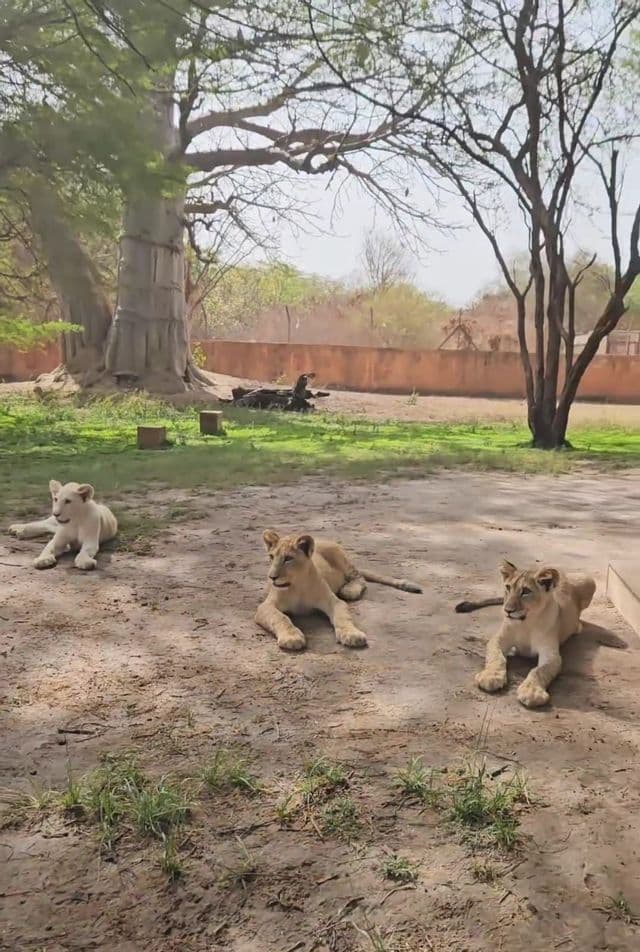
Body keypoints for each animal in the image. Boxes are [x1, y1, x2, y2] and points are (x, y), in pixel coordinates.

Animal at [255, 529, 422, 651]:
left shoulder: (334, 601)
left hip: (341, 558)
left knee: (359, 577)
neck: (297, 585)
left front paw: (352, 635)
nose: (272, 577)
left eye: (288, 559)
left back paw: (350, 590)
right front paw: (291, 637)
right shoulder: (266, 606)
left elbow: (342, 617)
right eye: (271, 557)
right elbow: (280, 617)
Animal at [463, 559, 596, 708]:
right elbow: (496, 657)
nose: (507, 610)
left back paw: (577, 627)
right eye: (508, 587)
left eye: (526, 591)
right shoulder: (498, 640)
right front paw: (491, 677)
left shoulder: (551, 655)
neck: (525, 623)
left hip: (588, 579)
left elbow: (539, 671)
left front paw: (532, 692)